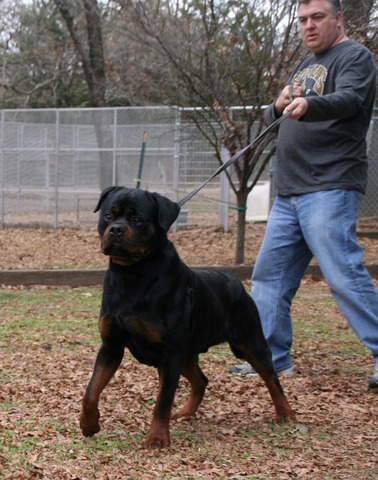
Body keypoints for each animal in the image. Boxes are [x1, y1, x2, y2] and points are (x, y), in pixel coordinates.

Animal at [79, 186, 296, 448]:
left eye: (137, 219)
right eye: (109, 216)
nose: (116, 229)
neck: (132, 274)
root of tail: (236, 283)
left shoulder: (169, 353)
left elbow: (162, 401)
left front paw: (157, 438)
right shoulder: (111, 345)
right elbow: (91, 391)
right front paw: (89, 424)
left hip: (249, 342)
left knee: (272, 379)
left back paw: (285, 413)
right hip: (187, 354)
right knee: (201, 380)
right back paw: (187, 412)